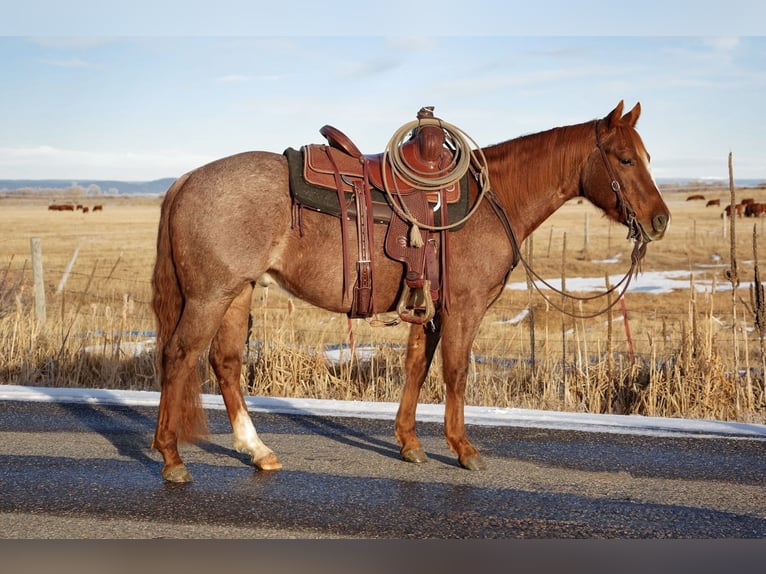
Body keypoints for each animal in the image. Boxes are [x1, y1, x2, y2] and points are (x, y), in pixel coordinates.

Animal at [151, 100, 670, 482]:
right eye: (625, 159)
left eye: (648, 157)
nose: (660, 220)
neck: (493, 201)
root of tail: (186, 180)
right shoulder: (464, 308)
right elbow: (456, 372)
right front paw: (463, 449)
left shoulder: (430, 309)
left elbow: (417, 367)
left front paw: (410, 444)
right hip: (209, 296)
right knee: (178, 356)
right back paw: (171, 457)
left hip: (237, 293)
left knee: (225, 363)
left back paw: (257, 450)